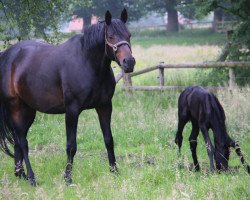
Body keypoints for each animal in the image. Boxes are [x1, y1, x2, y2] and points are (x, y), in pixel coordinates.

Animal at [0, 8, 135, 185]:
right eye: (111, 36)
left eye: (129, 35)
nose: (129, 62)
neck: (87, 63)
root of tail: (7, 56)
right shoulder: (72, 110)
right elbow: (71, 146)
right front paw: (68, 177)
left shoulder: (105, 106)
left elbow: (109, 140)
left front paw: (114, 171)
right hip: (15, 106)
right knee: (22, 141)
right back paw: (31, 177)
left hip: (28, 110)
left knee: (17, 140)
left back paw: (20, 174)